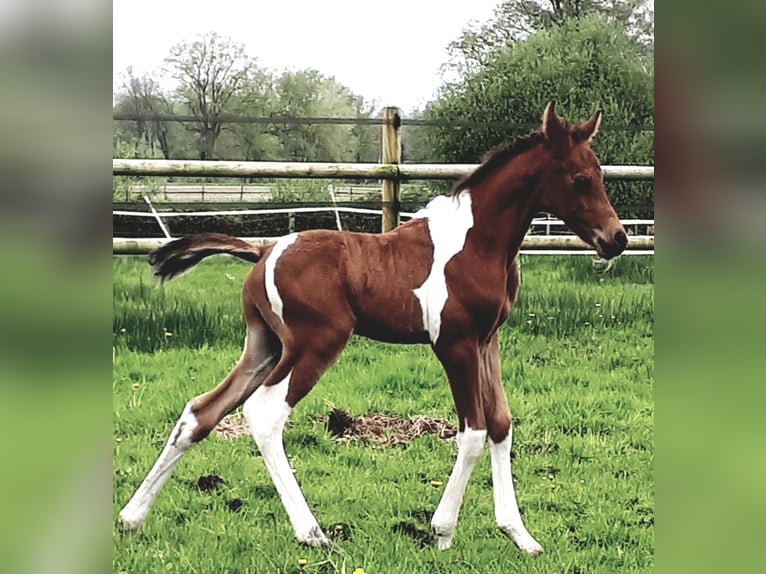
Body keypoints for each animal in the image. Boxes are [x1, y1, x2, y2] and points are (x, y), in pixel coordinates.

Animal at [117, 101, 628, 556]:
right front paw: (442, 531)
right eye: (580, 179)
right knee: (264, 413)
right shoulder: (454, 344)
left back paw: (130, 519)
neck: (478, 243)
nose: (617, 239)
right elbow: (473, 432)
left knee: (201, 412)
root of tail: (263, 250)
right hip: (315, 344)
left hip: (264, 346)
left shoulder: (488, 341)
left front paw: (519, 535)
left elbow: (501, 424)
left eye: (600, 175)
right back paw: (312, 534)